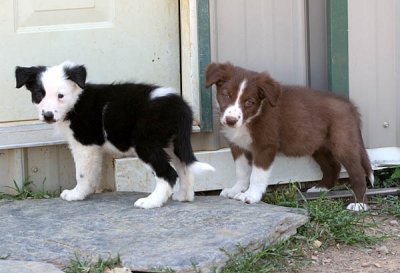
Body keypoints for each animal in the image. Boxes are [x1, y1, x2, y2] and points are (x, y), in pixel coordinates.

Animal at [16, 60, 214, 207]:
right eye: (39, 94)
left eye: (60, 96)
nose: (48, 115)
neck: (76, 101)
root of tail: (181, 107)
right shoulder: (93, 149)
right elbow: (92, 173)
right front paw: (86, 192)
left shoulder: (84, 145)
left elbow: (81, 173)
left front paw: (76, 194)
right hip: (173, 142)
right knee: (185, 168)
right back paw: (184, 196)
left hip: (146, 143)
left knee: (169, 173)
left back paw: (151, 202)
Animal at [208, 62, 374, 210]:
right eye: (226, 95)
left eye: (249, 101)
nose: (230, 120)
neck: (251, 118)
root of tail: (350, 106)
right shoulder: (239, 147)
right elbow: (241, 172)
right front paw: (236, 190)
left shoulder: (265, 146)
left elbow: (257, 175)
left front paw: (251, 195)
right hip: (318, 146)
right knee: (333, 166)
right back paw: (321, 188)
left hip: (343, 142)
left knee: (358, 173)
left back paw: (359, 204)